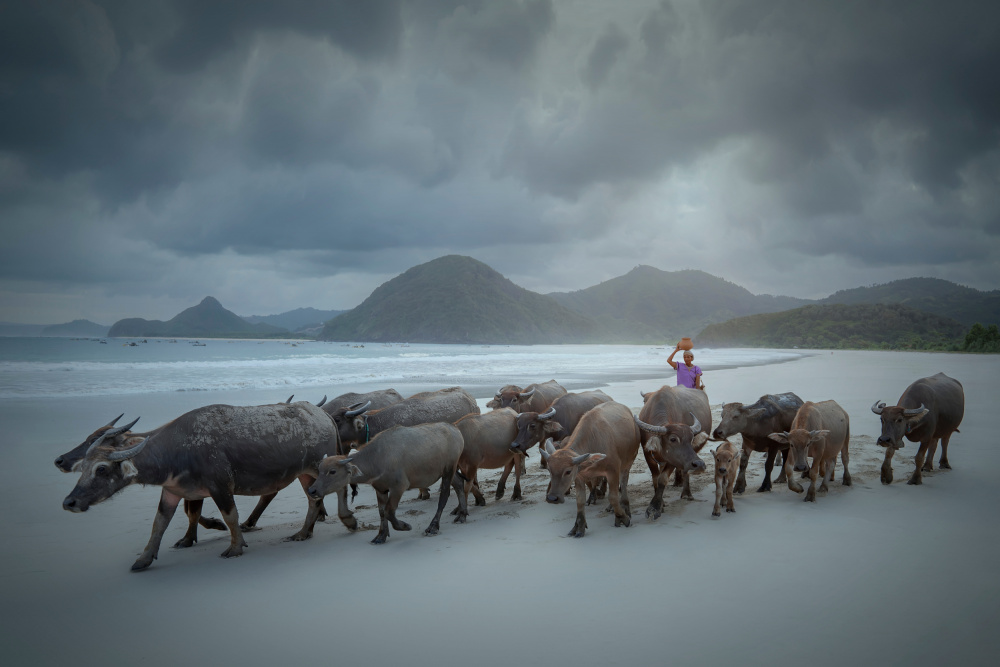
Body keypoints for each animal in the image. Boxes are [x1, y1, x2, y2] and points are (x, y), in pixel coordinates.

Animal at [62, 400, 346, 572]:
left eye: (101, 469)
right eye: (83, 468)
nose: (69, 502)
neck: (178, 450)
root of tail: (323, 414)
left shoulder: (220, 487)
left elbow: (230, 516)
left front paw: (235, 547)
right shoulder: (172, 491)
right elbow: (159, 524)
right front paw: (143, 559)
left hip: (318, 468)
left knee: (336, 488)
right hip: (305, 474)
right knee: (314, 500)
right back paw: (304, 532)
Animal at [306, 426, 466, 544]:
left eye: (332, 471)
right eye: (320, 470)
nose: (312, 490)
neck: (377, 458)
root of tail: (456, 431)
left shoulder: (399, 487)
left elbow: (389, 511)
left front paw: (405, 526)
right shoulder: (380, 489)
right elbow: (382, 512)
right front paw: (380, 536)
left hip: (449, 470)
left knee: (444, 495)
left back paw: (433, 527)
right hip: (447, 472)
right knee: (459, 484)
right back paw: (462, 515)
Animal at [540, 402, 640, 536]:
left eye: (568, 471)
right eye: (549, 470)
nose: (552, 498)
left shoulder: (613, 471)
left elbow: (613, 497)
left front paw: (622, 517)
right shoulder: (579, 476)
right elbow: (580, 501)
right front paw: (579, 525)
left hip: (628, 463)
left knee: (623, 484)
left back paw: (624, 507)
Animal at [632, 384, 712, 520]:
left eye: (691, 438)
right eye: (673, 439)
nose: (699, 465)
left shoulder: (673, 460)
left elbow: (662, 479)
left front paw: (654, 507)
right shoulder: (648, 453)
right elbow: (655, 478)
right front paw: (661, 504)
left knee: (686, 472)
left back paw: (686, 493)